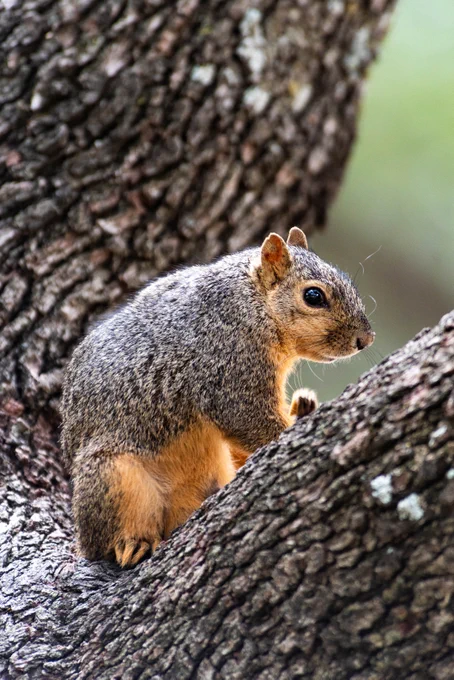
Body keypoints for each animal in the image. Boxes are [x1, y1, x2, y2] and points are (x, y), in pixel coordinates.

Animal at [61, 228, 375, 567]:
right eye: (313, 296)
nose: (366, 338)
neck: (253, 302)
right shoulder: (228, 361)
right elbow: (246, 418)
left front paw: (303, 405)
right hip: (113, 476)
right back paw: (132, 543)